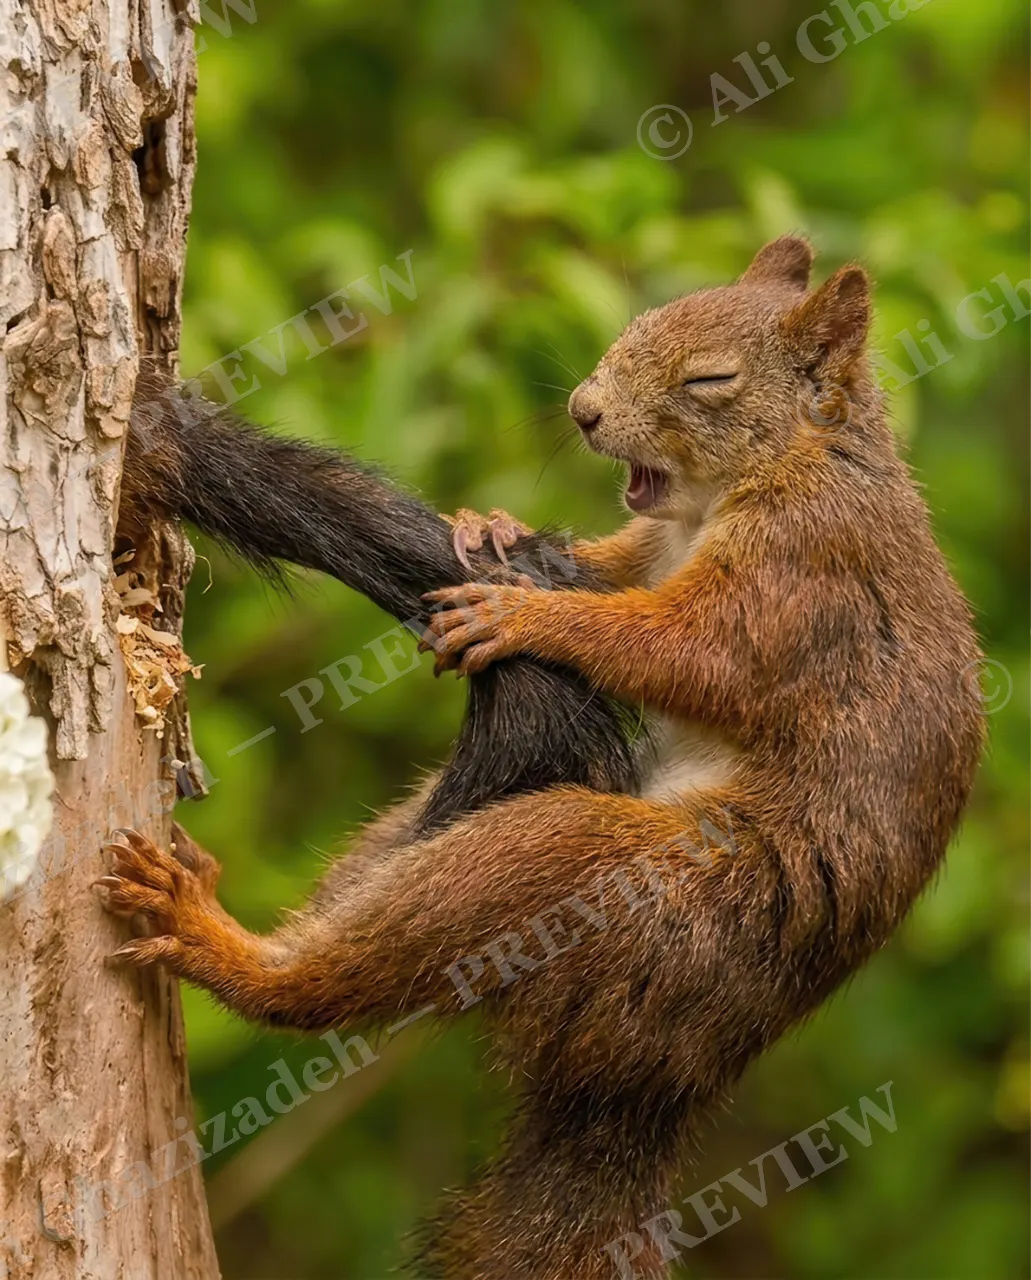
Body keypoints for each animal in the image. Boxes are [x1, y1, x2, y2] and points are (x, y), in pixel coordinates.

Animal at [100, 237, 984, 1280]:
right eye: (634, 328)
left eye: (711, 379)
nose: (583, 411)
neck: (773, 470)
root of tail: (671, 1070)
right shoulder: (646, 547)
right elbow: (602, 571)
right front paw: (487, 526)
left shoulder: (801, 571)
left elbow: (686, 651)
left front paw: (529, 614)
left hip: (604, 884)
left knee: (345, 976)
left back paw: (218, 942)